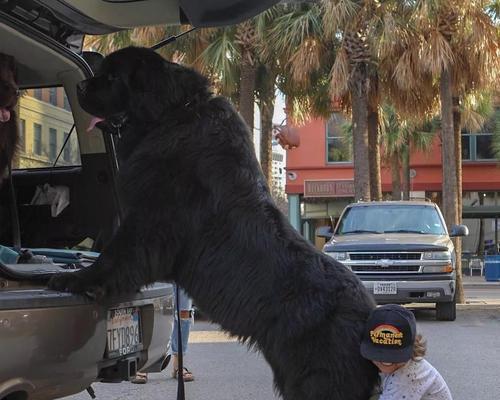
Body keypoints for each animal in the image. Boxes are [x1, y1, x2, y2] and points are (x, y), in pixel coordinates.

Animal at [47, 47, 378, 400]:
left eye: (112, 77)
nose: (80, 87)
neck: (173, 115)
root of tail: (369, 313)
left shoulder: (150, 220)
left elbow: (116, 256)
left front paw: (75, 280)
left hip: (318, 379)